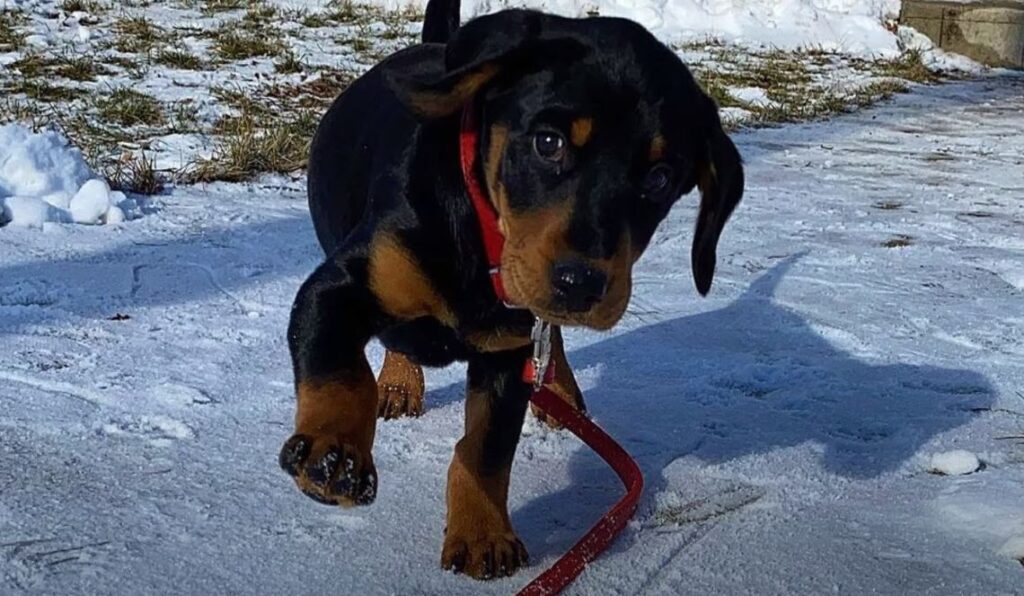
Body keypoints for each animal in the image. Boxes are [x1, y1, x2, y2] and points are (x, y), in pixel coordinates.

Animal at [280, 0, 745, 581]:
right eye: (549, 142)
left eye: (660, 178)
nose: (580, 283)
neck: (485, 243)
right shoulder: (334, 289)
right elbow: (340, 373)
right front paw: (335, 452)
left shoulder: (509, 352)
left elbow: (485, 449)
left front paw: (483, 533)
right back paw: (399, 383)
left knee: (551, 344)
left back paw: (560, 394)